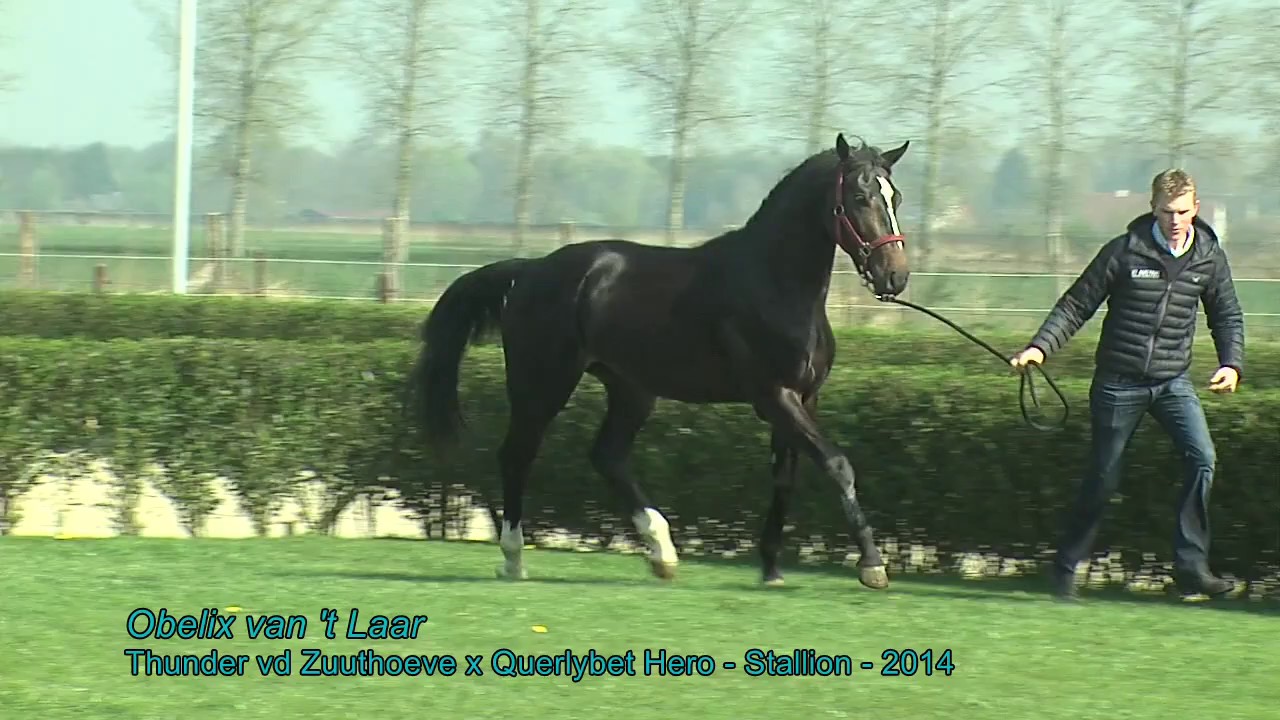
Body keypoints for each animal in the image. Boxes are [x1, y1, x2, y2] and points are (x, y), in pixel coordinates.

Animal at [409, 133, 911, 590]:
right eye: (859, 197)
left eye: (895, 197)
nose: (895, 275)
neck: (772, 284)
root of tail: (530, 271)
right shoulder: (773, 396)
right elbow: (837, 464)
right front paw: (873, 566)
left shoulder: (803, 398)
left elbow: (786, 478)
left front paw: (770, 568)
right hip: (543, 384)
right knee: (517, 454)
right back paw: (514, 559)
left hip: (631, 389)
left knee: (607, 456)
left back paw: (662, 552)